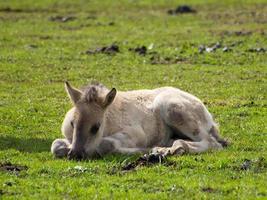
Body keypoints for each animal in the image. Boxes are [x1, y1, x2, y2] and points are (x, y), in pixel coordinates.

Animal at [51, 81, 228, 159]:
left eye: (96, 127)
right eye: (73, 124)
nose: (75, 154)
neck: (110, 118)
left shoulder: (135, 134)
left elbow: (106, 145)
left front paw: (147, 150)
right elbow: (56, 145)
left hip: (172, 108)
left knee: (212, 143)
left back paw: (170, 149)